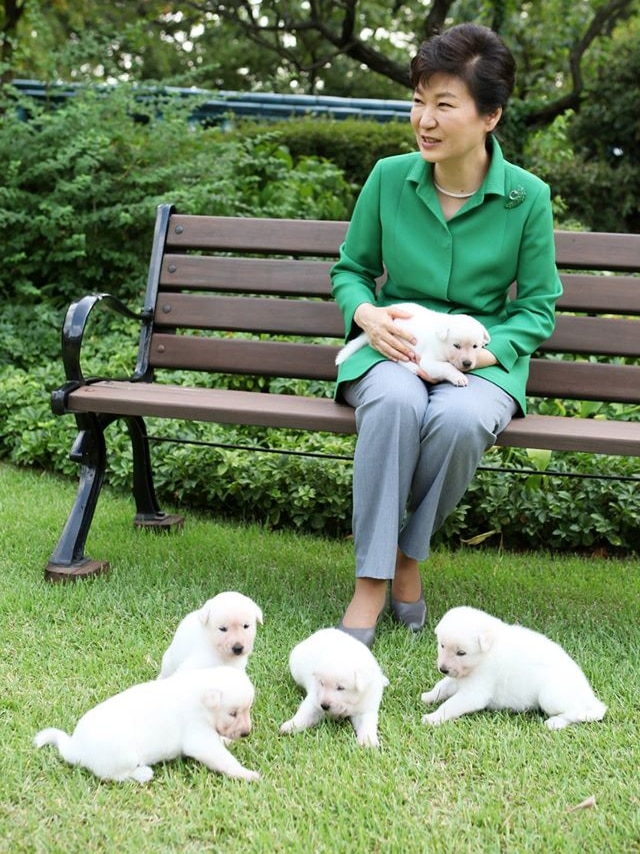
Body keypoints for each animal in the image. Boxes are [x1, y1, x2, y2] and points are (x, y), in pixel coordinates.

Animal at [34, 668, 260, 784]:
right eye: (233, 713)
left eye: (248, 709)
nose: (246, 733)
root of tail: (76, 748)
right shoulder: (200, 739)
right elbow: (223, 760)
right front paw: (246, 774)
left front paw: (226, 740)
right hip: (124, 755)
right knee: (114, 776)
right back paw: (142, 774)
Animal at [420, 604, 604, 732]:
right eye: (442, 645)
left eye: (461, 653)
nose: (442, 669)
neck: (486, 652)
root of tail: (589, 696)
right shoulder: (457, 679)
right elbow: (441, 686)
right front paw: (428, 696)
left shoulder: (475, 691)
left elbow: (450, 705)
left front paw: (433, 718)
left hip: (551, 696)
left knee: (576, 713)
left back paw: (555, 722)